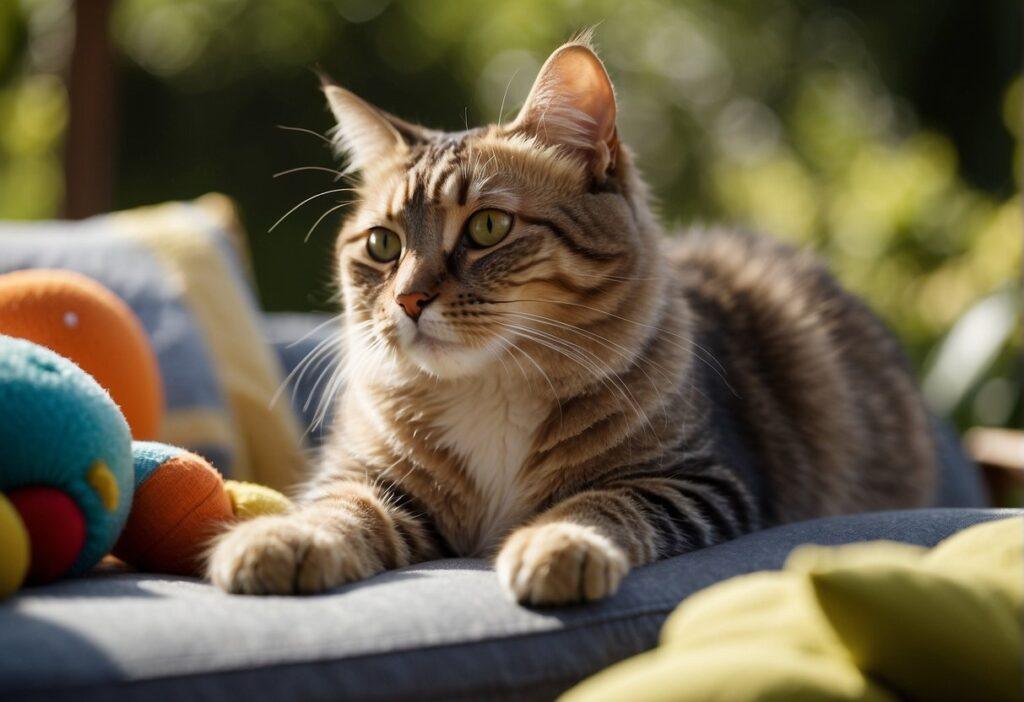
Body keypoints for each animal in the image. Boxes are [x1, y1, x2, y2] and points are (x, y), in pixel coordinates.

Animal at [205, 37, 937, 605]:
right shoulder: (372, 482)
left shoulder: (699, 479)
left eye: (488, 227)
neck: (490, 388)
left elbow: (598, 503)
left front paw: (557, 547)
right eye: (383, 245)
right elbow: (338, 508)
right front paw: (281, 537)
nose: (408, 300)